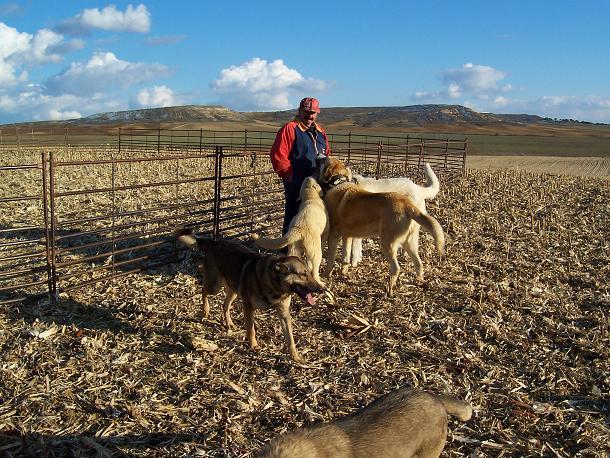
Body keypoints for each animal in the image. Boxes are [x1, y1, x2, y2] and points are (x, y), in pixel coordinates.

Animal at [175, 229, 324, 362]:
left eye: (310, 273)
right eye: (303, 274)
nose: (320, 289)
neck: (273, 283)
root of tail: (214, 242)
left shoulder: (284, 313)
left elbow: (290, 338)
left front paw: (295, 357)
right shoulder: (248, 306)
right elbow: (251, 329)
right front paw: (253, 345)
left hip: (234, 291)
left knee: (224, 305)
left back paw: (229, 324)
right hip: (215, 286)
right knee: (204, 291)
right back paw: (205, 310)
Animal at [319, 157, 444, 296]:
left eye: (324, 160)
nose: (319, 157)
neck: (340, 183)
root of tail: (407, 203)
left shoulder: (335, 235)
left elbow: (331, 257)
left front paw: (326, 274)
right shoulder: (348, 236)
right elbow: (345, 256)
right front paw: (344, 272)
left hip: (387, 243)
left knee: (396, 268)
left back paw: (389, 289)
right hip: (410, 242)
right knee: (418, 263)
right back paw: (419, 282)